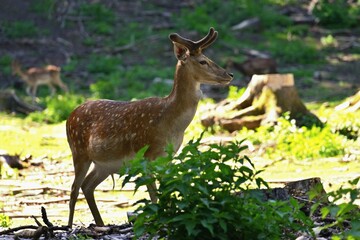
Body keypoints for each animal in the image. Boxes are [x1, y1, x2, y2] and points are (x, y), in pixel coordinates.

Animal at [65, 27, 233, 227]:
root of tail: (70, 116)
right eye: (203, 61)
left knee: (87, 185)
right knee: (74, 188)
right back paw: (69, 227)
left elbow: (166, 189)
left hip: (105, 164)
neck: (170, 123)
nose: (229, 75)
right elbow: (154, 195)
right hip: (78, 151)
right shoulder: (145, 153)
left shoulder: (168, 156)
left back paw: (101, 224)